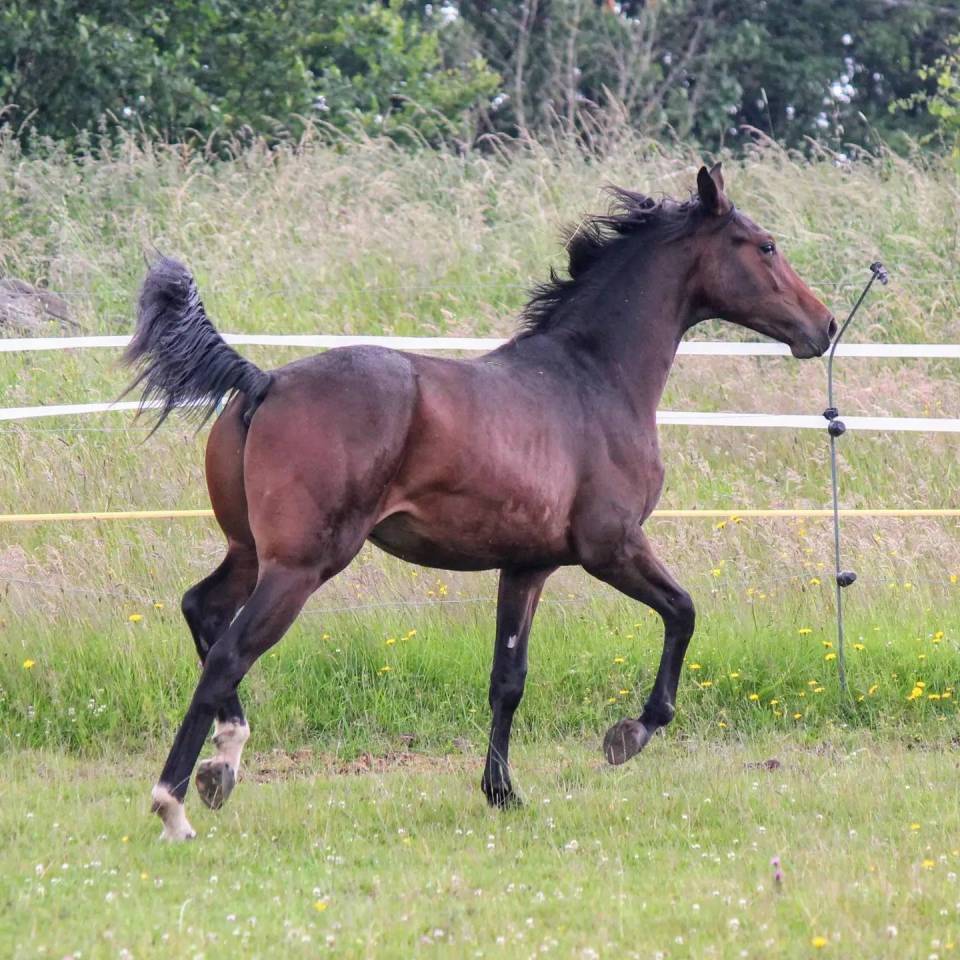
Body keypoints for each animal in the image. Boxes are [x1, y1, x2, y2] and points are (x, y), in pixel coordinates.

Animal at [126, 163, 835, 840]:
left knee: (201, 608)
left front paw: (501, 793)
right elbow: (683, 612)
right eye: (766, 245)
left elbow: (507, 681)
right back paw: (174, 804)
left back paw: (222, 765)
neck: (592, 379)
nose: (824, 326)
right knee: (228, 656)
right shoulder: (612, 546)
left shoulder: (526, 566)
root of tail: (264, 380)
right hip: (300, 566)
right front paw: (629, 734)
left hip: (249, 551)